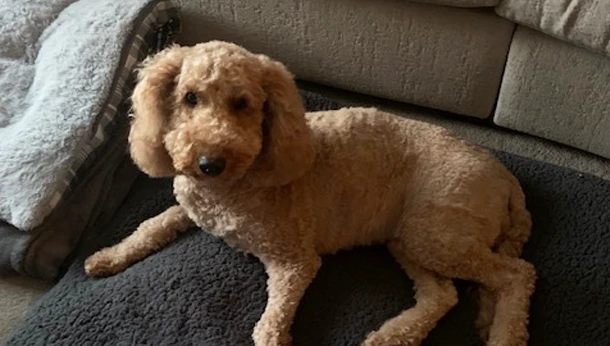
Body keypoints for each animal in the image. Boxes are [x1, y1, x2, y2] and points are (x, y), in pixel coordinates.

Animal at [84, 41, 532, 346]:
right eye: (189, 97)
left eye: (242, 103)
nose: (209, 162)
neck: (230, 189)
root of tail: (505, 176)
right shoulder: (190, 207)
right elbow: (150, 226)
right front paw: (109, 256)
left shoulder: (295, 261)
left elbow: (269, 325)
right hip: (411, 237)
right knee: (443, 295)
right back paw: (391, 336)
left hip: (436, 232)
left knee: (518, 275)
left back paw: (504, 336)